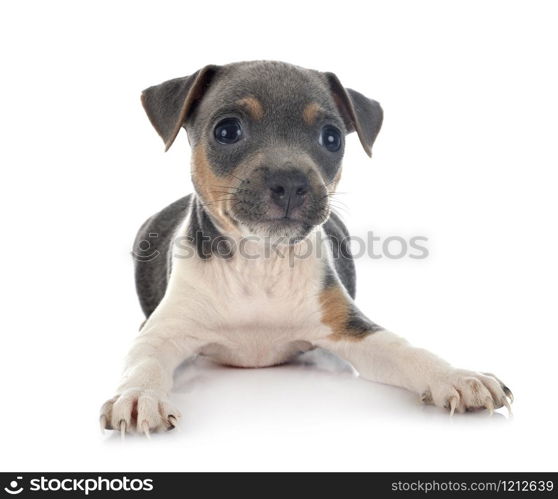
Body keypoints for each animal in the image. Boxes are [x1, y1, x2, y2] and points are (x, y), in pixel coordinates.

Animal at [99, 61, 512, 438]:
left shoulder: (353, 330)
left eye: (331, 138)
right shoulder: (161, 333)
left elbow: (408, 349)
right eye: (227, 131)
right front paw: (138, 396)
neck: (260, 263)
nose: (291, 182)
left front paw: (456, 376)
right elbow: (144, 362)